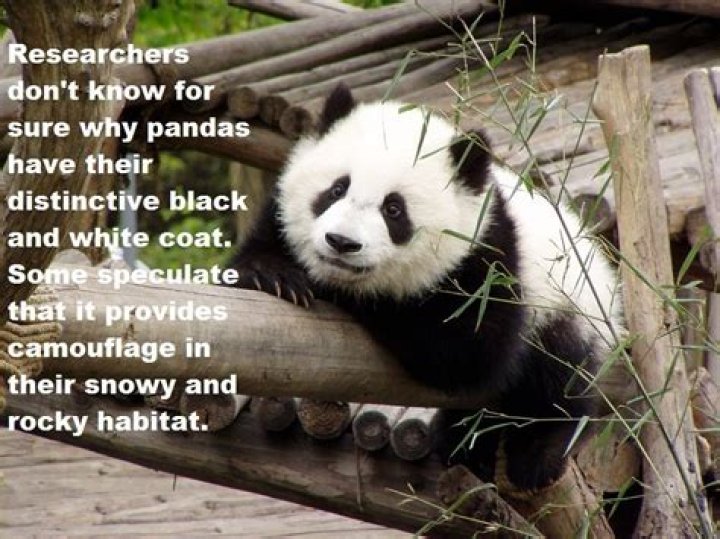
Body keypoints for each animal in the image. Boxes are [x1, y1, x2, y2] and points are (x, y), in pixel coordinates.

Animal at [229, 83, 624, 491]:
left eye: (394, 210)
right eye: (336, 189)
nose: (341, 242)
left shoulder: (489, 265)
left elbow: (460, 350)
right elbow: (257, 254)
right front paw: (274, 276)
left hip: (569, 306)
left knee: (558, 382)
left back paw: (533, 454)